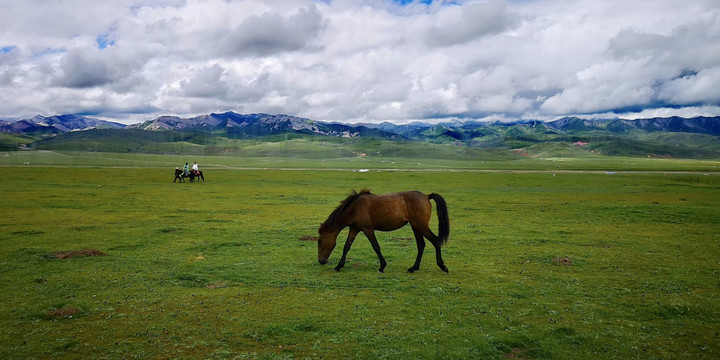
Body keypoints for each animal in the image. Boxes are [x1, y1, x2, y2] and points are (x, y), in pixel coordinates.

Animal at [316, 190, 450, 272]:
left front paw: (382, 266)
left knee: (435, 241)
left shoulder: (368, 229)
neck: (355, 208)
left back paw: (442, 266)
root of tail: (426, 196)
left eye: (319, 241)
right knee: (421, 245)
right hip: (415, 227)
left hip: (421, 226)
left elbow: (376, 247)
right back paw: (413, 268)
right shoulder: (354, 229)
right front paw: (339, 266)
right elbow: (346, 247)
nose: (320, 261)